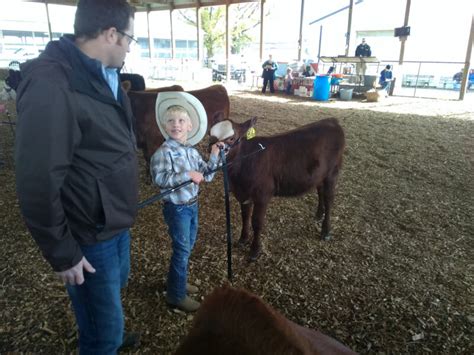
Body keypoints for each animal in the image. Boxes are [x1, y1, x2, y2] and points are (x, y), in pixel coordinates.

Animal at [210, 118, 344, 260]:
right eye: (210, 135)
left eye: (231, 138)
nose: (212, 150)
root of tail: (331, 121)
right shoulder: (244, 194)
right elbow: (245, 216)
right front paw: (243, 239)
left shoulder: (262, 195)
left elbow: (257, 222)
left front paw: (254, 250)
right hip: (319, 175)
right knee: (320, 191)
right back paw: (319, 214)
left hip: (332, 173)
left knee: (329, 199)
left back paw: (326, 231)